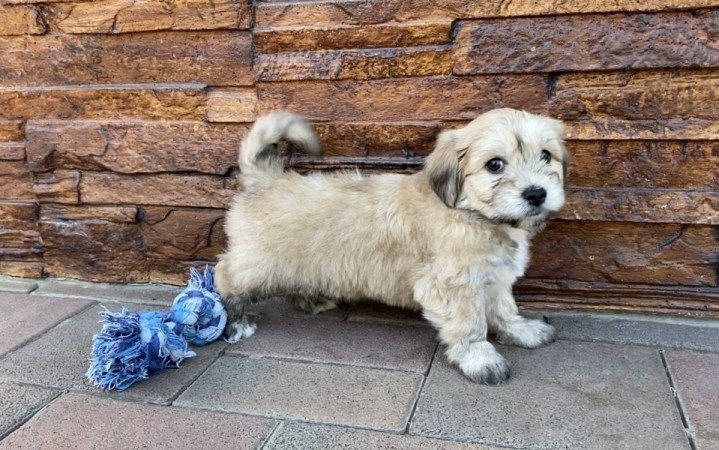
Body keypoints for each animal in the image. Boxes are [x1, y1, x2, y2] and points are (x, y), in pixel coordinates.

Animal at [214, 108, 568, 384]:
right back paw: (236, 322)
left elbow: (505, 310)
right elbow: (470, 323)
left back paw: (311, 300)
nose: (536, 193)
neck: (473, 215)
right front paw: (480, 358)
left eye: (545, 155)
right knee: (225, 275)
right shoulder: (452, 286)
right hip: (260, 264)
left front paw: (523, 332)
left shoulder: (494, 278)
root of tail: (268, 180)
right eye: (495, 165)